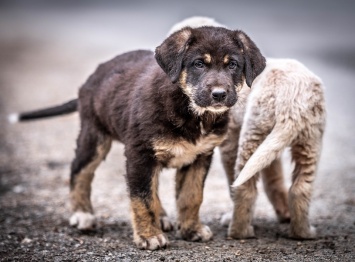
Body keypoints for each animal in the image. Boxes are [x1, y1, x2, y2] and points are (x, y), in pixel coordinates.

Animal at [9, 26, 268, 250]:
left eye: (233, 65)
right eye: (198, 64)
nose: (219, 95)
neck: (190, 110)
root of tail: (90, 80)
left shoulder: (200, 156)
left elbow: (191, 196)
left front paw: (191, 229)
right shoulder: (139, 154)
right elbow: (142, 199)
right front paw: (149, 236)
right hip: (94, 136)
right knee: (79, 171)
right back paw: (82, 214)